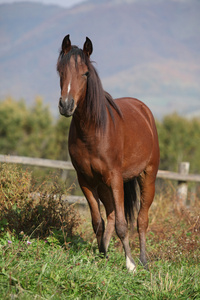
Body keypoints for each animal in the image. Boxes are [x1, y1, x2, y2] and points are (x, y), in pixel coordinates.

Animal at [56, 34, 159, 272]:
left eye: (85, 73)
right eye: (60, 71)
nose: (66, 105)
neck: (93, 131)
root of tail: (144, 110)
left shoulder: (115, 178)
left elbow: (123, 223)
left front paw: (130, 264)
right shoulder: (85, 180)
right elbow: (98, 221)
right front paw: (102, 255)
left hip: (147, 177)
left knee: (141, 219)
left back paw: (143, 261)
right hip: (103, 185)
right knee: (110, 215)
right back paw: (106, 254)